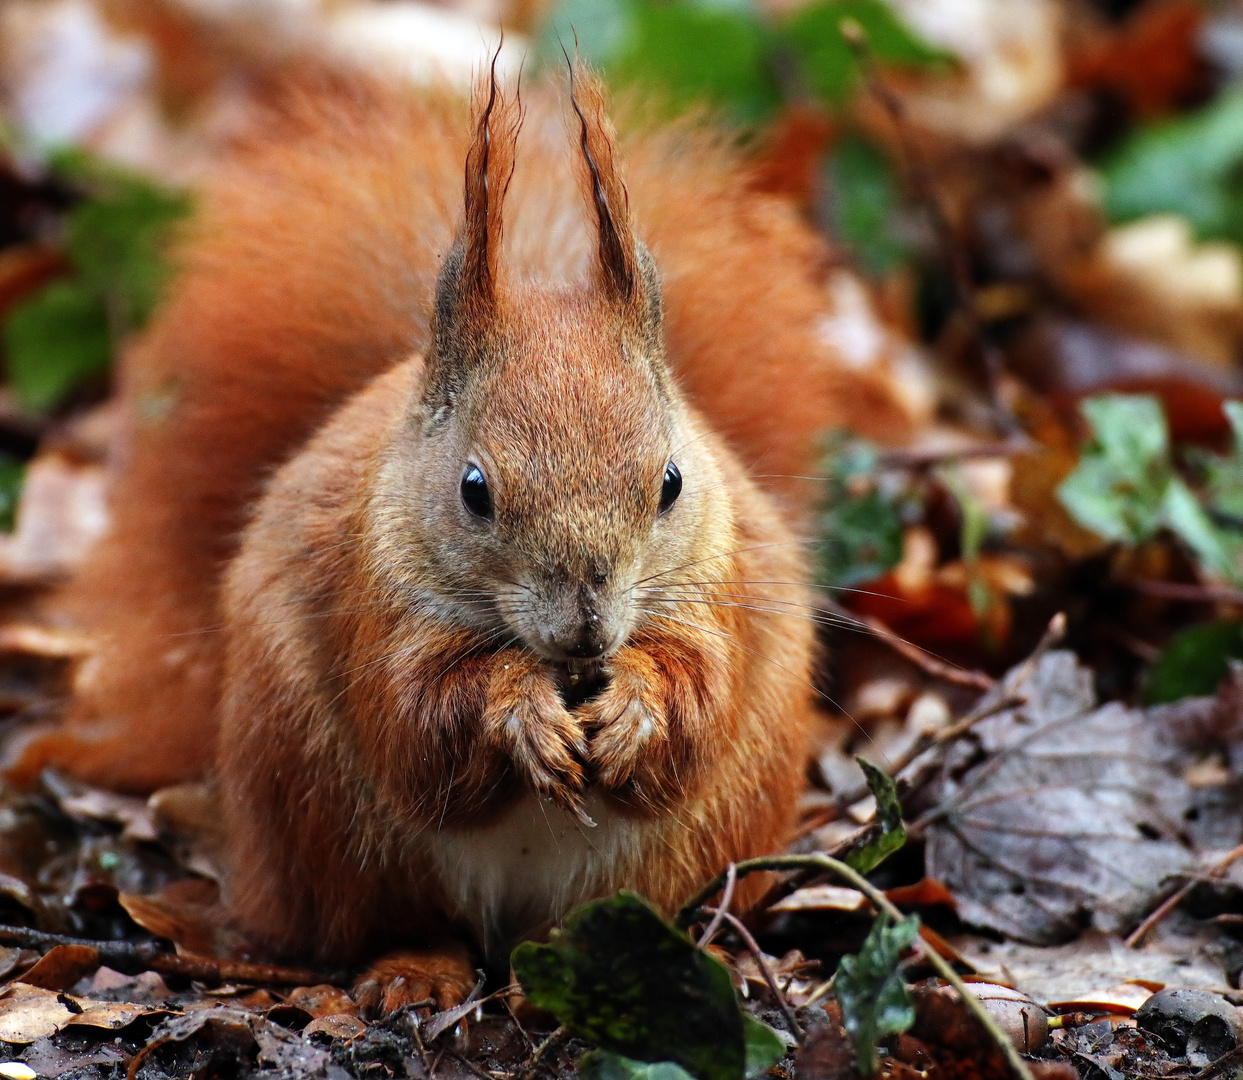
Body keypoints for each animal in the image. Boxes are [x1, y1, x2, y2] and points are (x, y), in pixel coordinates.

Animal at [9, 65, 914, 994]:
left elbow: (699, 694)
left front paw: (637, 710)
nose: (588, 626)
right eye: (473, 490)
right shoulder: (376, 605)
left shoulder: (711, 592)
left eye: (670, 483)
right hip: (330, 824)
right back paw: (417, 970)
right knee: (399, 920)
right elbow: (419, 719)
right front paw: (518, 712)